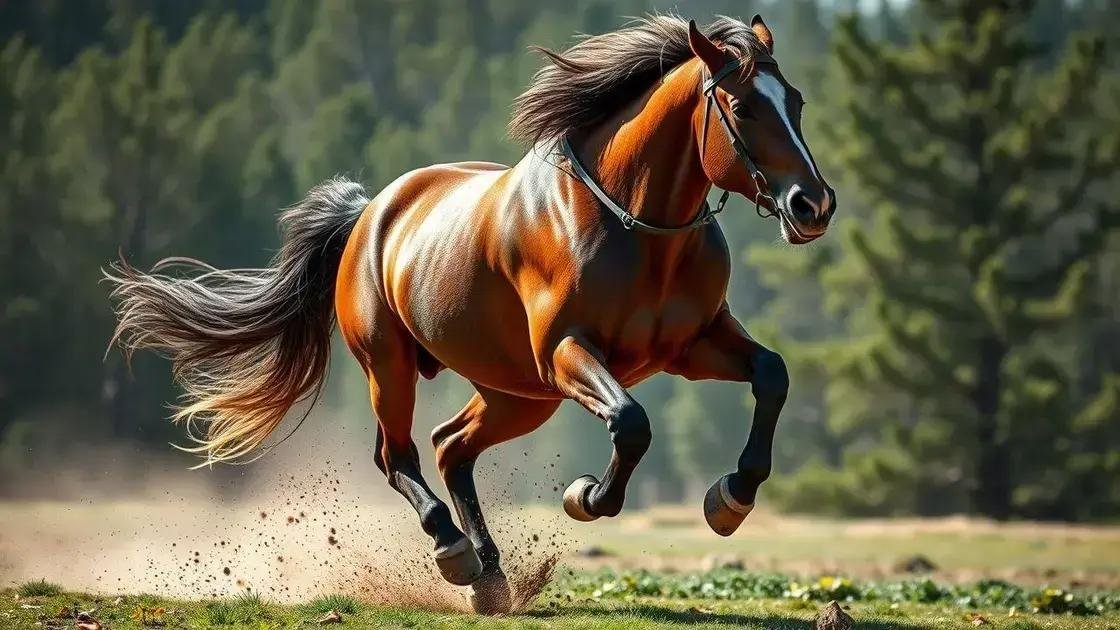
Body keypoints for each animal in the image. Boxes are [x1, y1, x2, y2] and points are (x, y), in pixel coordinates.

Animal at [107, 15, 834, 613]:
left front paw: (730, 498)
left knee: (450, 446)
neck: (635, 227)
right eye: (741, 106)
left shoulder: (693, 345)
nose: (813, 205)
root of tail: (368, 212)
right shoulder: (569, 353)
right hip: (396, 366)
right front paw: (586, 497)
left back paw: (491, 577)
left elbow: (772, 375)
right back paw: (455, 552)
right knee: (398, 454)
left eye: (796, 102)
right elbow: (631, 424)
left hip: (519, 394)